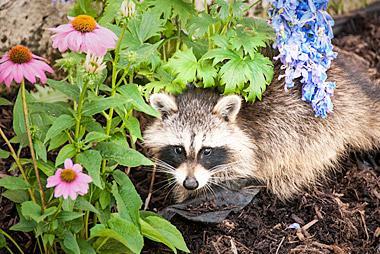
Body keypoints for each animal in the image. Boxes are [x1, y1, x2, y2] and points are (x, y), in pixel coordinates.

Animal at [142, 48, 380, 201]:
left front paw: (189, 193)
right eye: (178, 149)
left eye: (207, 151)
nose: (190, 183)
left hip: (315, 131)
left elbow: (237, 171)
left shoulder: (256, 146)